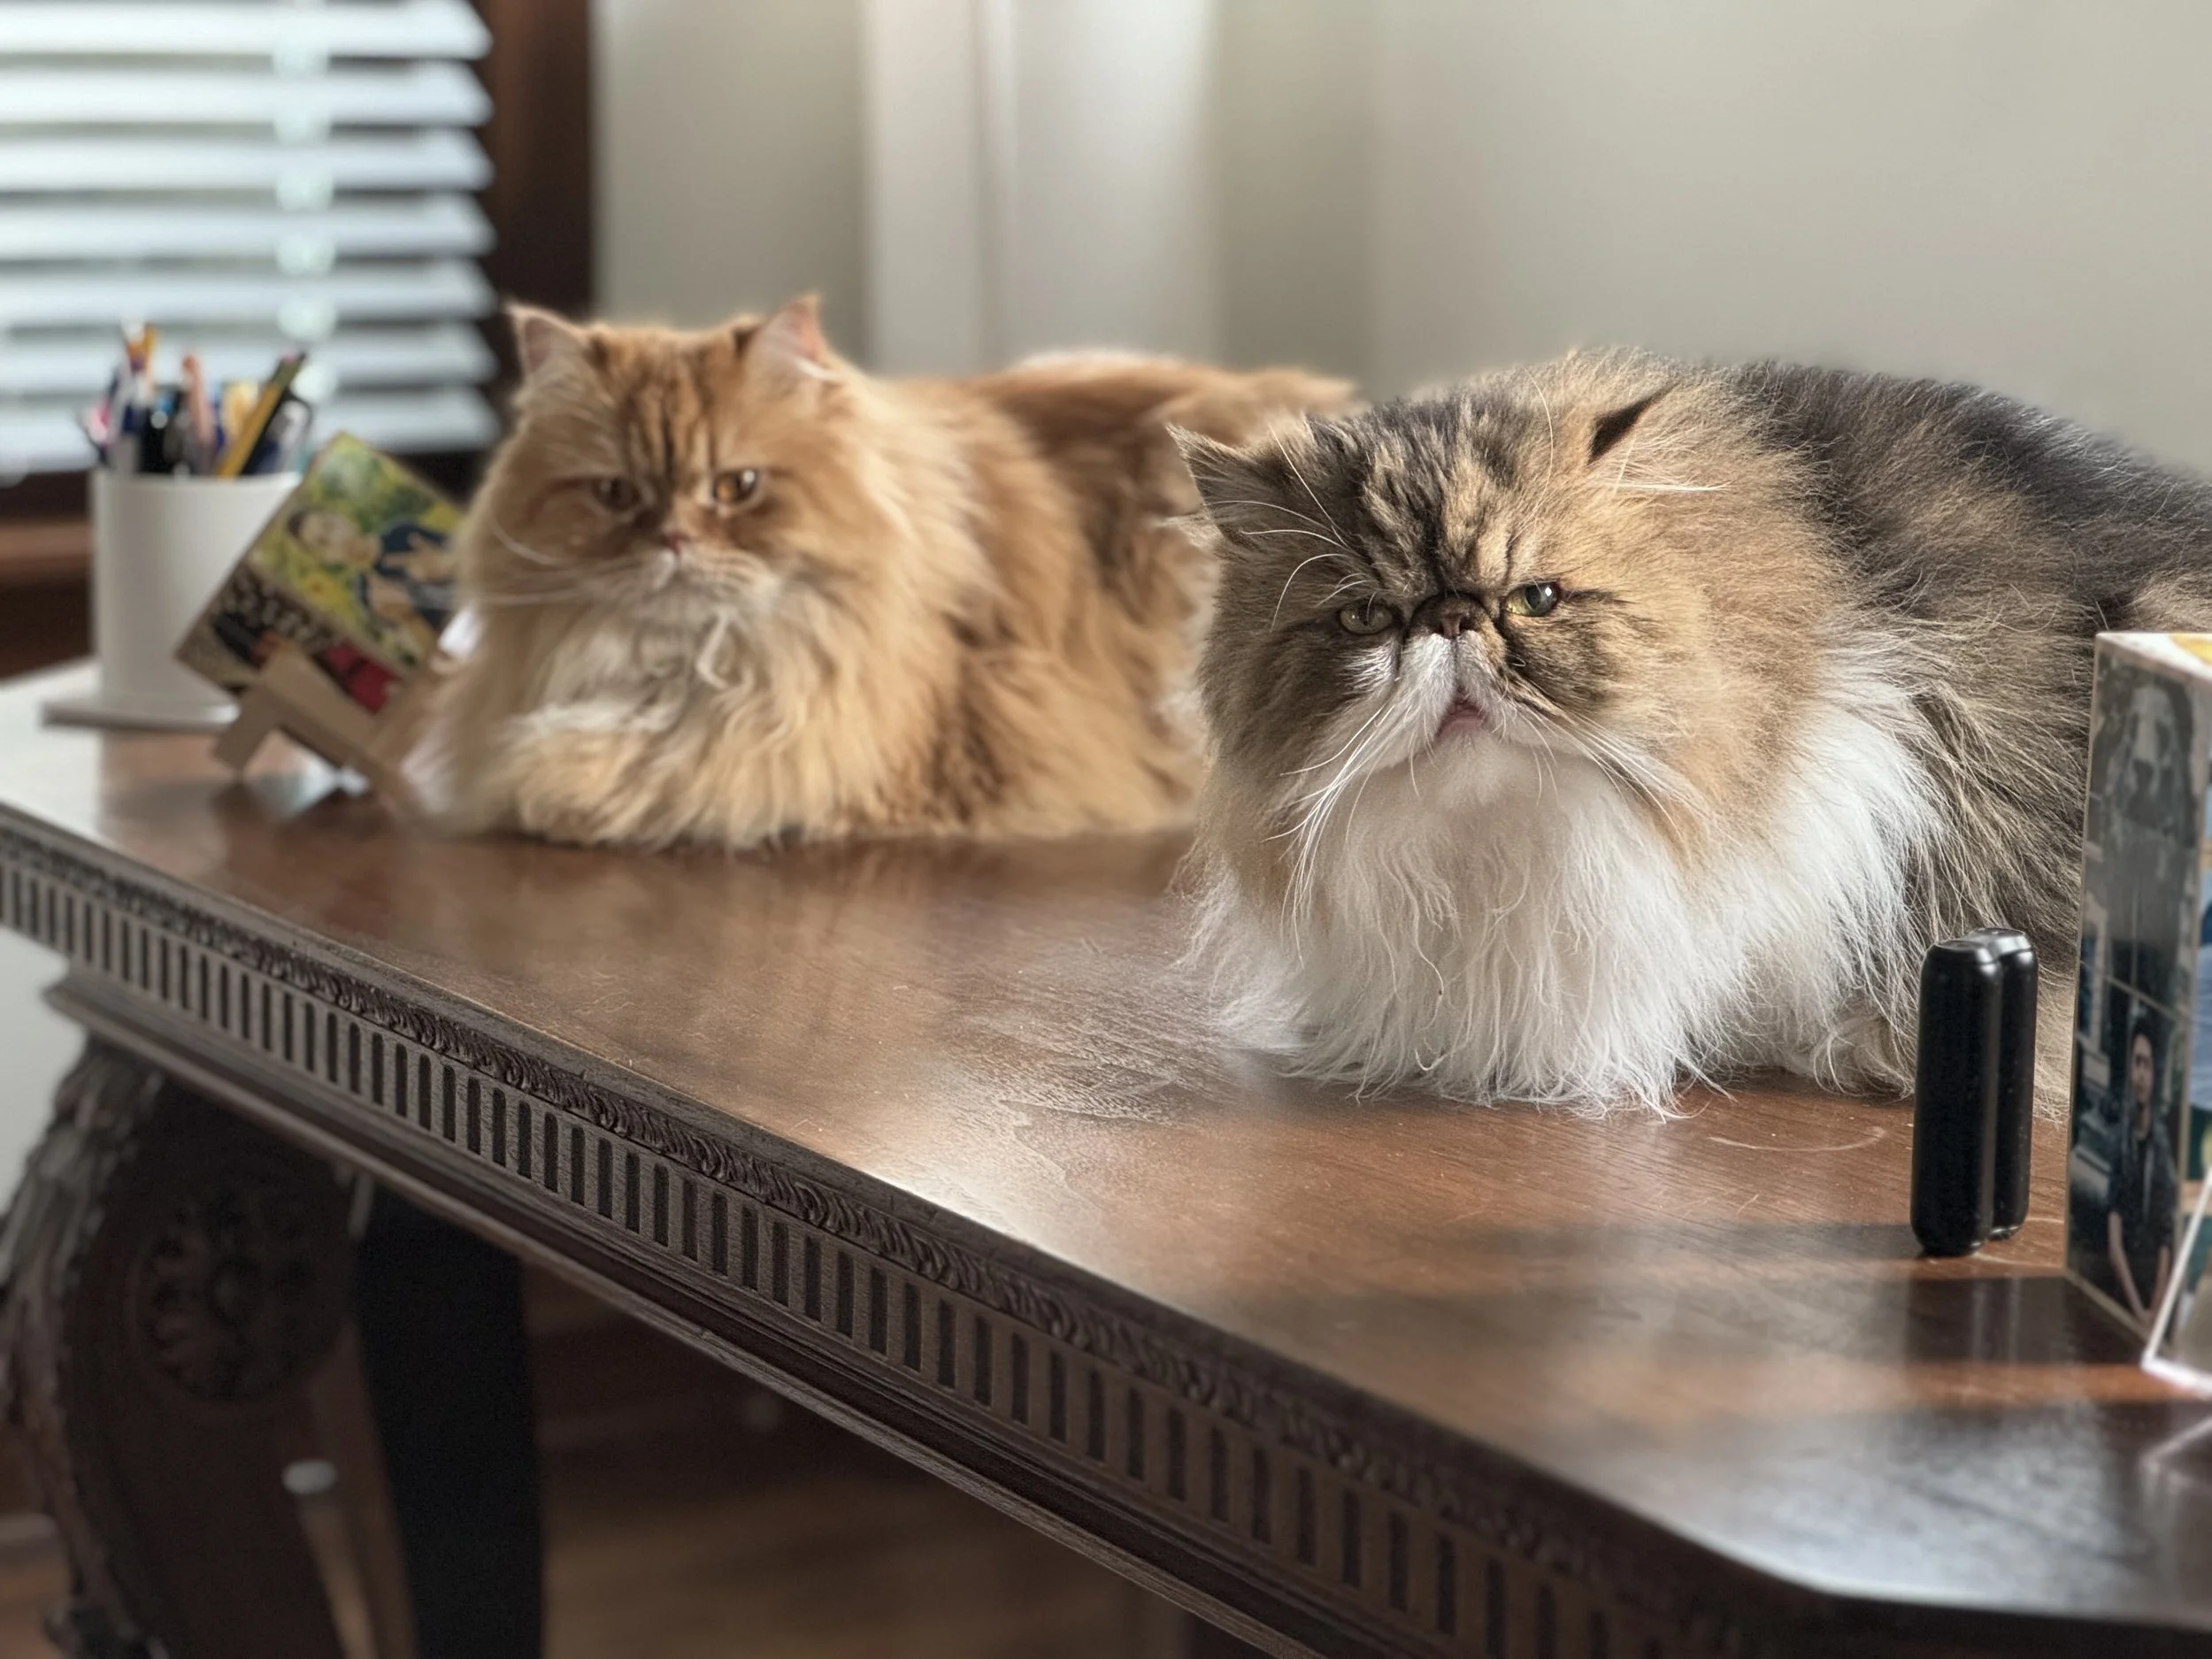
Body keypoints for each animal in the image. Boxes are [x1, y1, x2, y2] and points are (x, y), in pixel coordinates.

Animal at [423, 297, 1350, 849]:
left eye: (737, 487)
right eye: (615, 493)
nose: (675, 541)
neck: (691, 665)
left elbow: (628, 773)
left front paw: (555, 792)